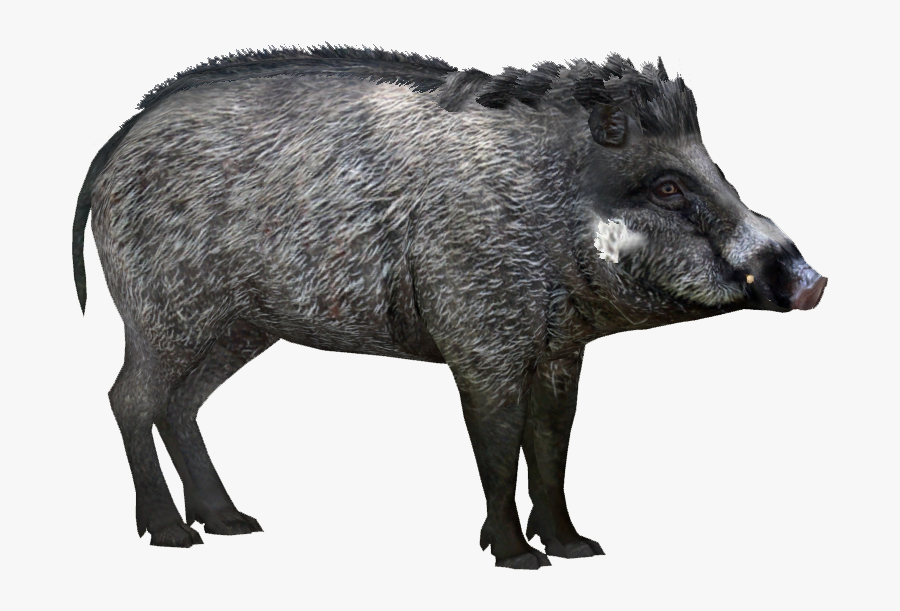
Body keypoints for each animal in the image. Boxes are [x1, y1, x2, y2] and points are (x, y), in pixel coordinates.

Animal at [72, 46, 826, 569]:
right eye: (668, 186)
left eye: (718, 171)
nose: (813, 281)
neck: (546, 210)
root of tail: (112, 151)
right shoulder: (479, 341)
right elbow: (497, 444)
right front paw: (519, 558)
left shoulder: (559, 353)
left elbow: (551, 442)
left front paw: (578, 547)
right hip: (164, 316)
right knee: (128, 398)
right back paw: (174, 535)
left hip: (234, 330)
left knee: (179, 405)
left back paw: (232, 522)